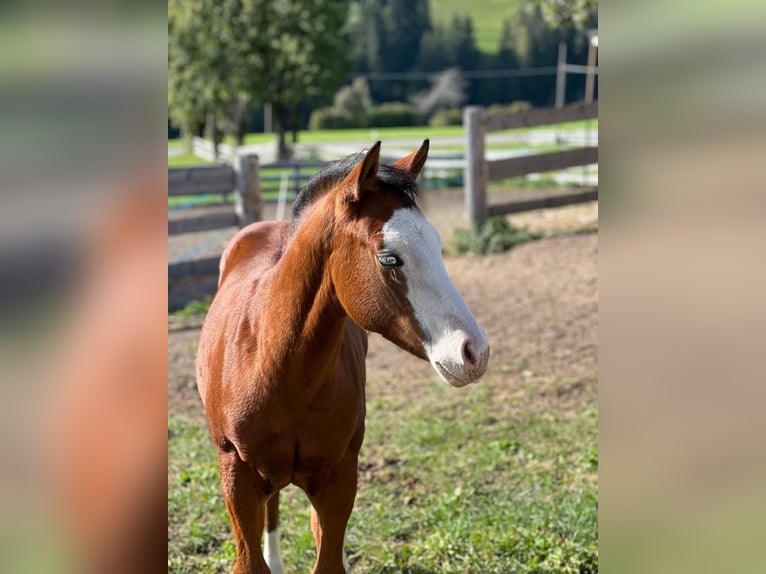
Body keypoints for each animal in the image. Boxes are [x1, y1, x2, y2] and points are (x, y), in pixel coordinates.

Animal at [195, 141, 488, 574]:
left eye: (436, 244)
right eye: (389, 258)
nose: (474, 351)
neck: (280, 369)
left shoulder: (340, 478)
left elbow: (329, 556)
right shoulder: (237, 475)